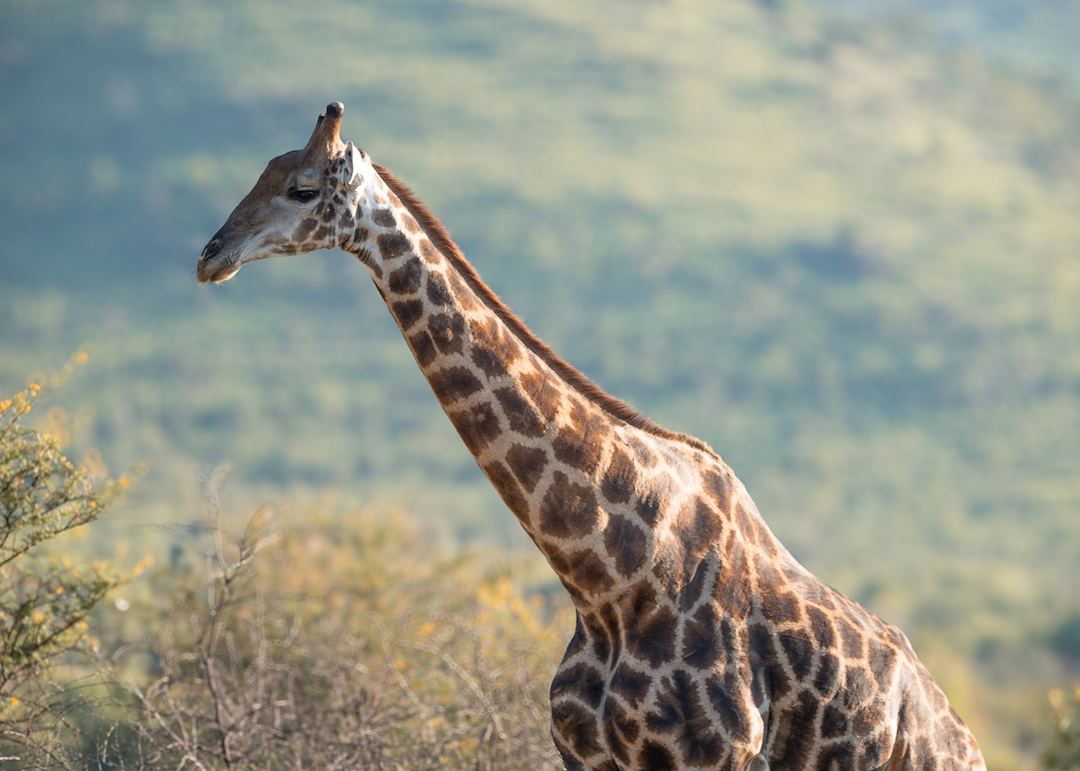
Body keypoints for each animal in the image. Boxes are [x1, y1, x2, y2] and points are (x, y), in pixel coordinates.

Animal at [196, 103, 986, 771]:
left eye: (301, 188)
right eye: (261, 172)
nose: (211, 254)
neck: (607, 576)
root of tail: (960, 734)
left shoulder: (716, 756)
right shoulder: (588, 755)